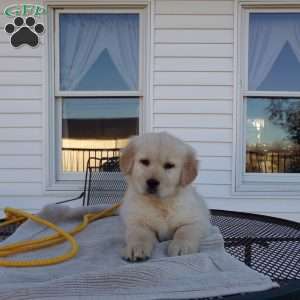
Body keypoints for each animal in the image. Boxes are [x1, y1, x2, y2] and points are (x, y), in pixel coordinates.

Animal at [118, 132, 210, 262]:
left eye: (169, 166)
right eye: (144, 162)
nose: (152, 182)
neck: (161, 203)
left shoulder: (196, 221)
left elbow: (184, 232)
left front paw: (182, 246)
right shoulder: (137, 222)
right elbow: (139, 235)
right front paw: (136, 248)